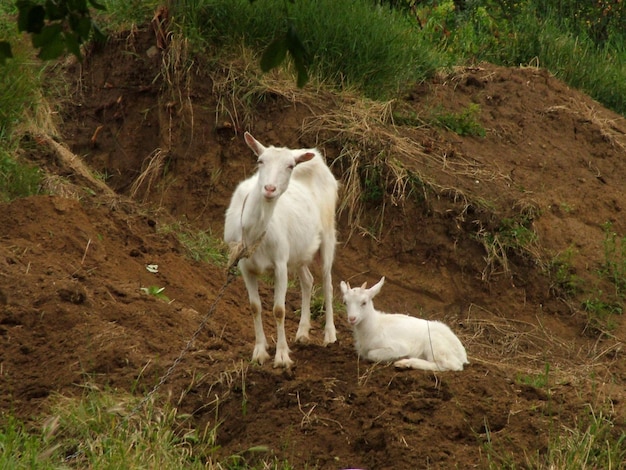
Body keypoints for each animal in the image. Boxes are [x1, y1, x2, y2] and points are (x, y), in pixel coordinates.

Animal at [224, 131, 336, 368]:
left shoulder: (280, 263)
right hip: (299, 250)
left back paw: (330, 335)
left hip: (328, 233)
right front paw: (259, 352)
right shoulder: (245, 266)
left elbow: (279, 310)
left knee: (327, 283)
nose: (269, 189)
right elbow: (254, 306)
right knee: (308, 280)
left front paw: (282, 357)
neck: (254, 232)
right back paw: (302, 333)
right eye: (260, 161)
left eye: (290, 166)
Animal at [338, 276, 466, 370]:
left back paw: (405, 362)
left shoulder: (398, 347)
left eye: (364, 302)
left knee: (449, 365)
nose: (352, 318)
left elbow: (371, 354)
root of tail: (463, 356)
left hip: (435, 344)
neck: (375, 326)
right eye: (345, 302)